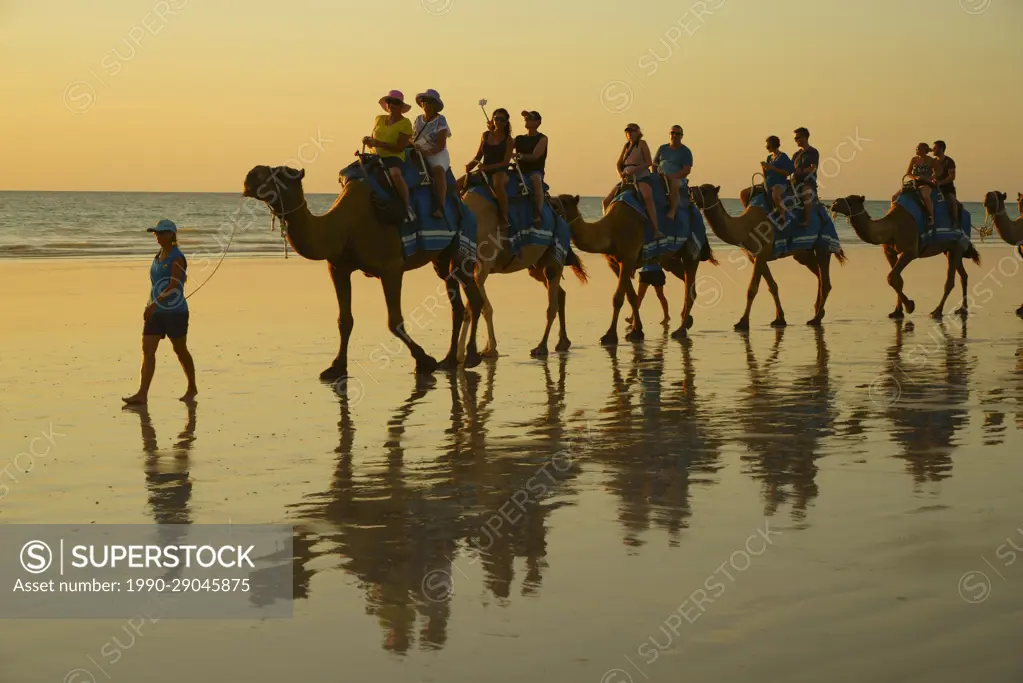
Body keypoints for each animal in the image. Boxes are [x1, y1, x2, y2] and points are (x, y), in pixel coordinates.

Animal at [241, 164, 484, 378]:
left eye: (281, 173)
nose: (250, 175)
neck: (342, 227)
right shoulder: (338, 268)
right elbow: (344, 320)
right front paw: (336, 367)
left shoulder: (391, 268)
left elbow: (394, 321)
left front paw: (425, 360)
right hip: (441, 260)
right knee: (457, 304)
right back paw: (450, 360)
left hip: (460, 248)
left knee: (474, 298)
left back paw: (471, 357)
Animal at [452, 187, 589, 357]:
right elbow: (475, 306)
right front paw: (468, 351)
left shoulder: (482, 267)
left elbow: (482, 307)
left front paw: (489, 349)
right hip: (537, 266)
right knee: (559, 294)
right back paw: (563, 342)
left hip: (553, 258)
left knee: (552, 302)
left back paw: (541, 346)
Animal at [556, 194, 716, 343]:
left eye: (563, 203)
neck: (610, 230)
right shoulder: (614, 263)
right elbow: (632, 296)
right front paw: (637, 332)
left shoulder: (628, 258)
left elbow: (618, 298)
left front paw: (610, 336)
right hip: (671, 259)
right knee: (687, 281)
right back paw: (687, 320)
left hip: (691, 250)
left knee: (690, 288)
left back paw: (680, 330)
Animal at [687, 184, 847, 327]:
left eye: (705, 190)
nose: (690, 190)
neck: (744, 227)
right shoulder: (754, 257)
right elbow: (772, 286)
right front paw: (779, 319)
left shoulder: (762, 253)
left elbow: (752, 289)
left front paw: (742, 322)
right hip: (803, 253)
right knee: (819, 276)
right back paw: (818, 312)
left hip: (823, 245)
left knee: (825, 281)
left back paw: (816, 319)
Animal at [826, 193, 977, 319]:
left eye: (851, 201)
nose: (834, 203)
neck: (892, 226)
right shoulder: (889, 252)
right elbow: (897, 279)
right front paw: (897, 312)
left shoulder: (910, 251)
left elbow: (892, 277)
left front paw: (910, 306)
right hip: (949, 249)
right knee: (963, 275)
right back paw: (962, 309)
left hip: (956, 246)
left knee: (950, 281)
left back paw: (937, 311)